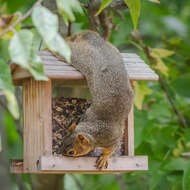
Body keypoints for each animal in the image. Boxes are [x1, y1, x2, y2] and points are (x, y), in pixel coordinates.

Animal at [51, 30, 134, 170]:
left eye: (71, 152)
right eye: (62, 142)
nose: (61, 154)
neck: (95, 130)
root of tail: (96, 41)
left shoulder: (112, 139)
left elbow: (110, 150)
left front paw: (104, 158)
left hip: (82, 55)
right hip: (79, 56)